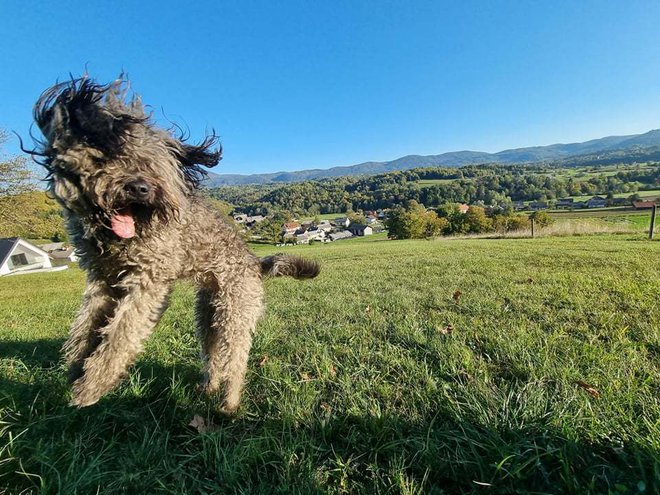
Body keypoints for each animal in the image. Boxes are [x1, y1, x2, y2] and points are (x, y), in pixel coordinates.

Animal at [31, 75, 320, 412]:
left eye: (151, 163)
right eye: (111, 156)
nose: (141, 189)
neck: (116, 239)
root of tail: (254, 262)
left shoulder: (148, 283)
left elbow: (121, 335)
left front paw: (92, 385)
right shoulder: (102, 281)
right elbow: (85, 328)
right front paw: (77, 367)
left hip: (235, 312)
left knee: (236, 359)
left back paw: (230, 403)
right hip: (209, 315)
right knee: (213, 355)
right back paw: (209, 387)